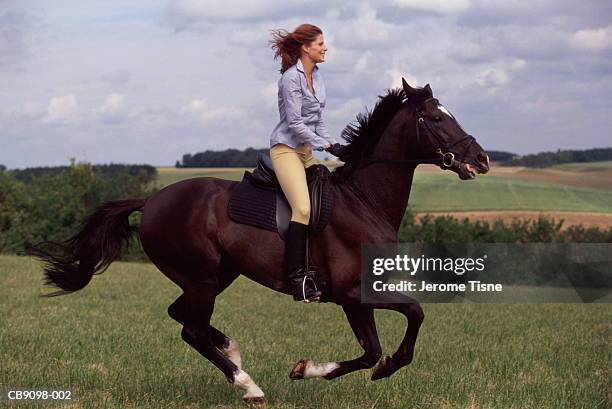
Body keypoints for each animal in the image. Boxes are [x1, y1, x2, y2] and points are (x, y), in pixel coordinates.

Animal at [27, 79, 488, 404]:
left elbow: (374, 349)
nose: (481, 160)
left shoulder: (358, 295)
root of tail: (152, 199)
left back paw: (231, 351)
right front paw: (326, 370)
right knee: (190, 329)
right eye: (436, 119)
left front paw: (310, 370)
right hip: (202, 278)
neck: (364, 201)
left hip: (217, 274)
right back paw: (247, 384)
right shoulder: (350, 292)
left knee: (182, 316)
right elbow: (410, 319)